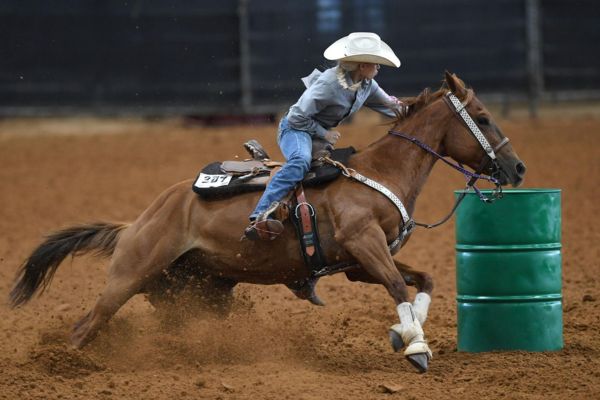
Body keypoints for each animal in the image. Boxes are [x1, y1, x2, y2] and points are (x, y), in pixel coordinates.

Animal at [9, 71, 524, 372]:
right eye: (482, 117)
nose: (517, 169)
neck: (379, 173)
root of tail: (136, 222)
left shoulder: (358, 265)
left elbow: (423, 280)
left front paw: (404, 332)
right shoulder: (364, 244)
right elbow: (398, 285)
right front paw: (416, 347)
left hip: (195, 290)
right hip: (130, 276)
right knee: (85, 327)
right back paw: (65, 365)